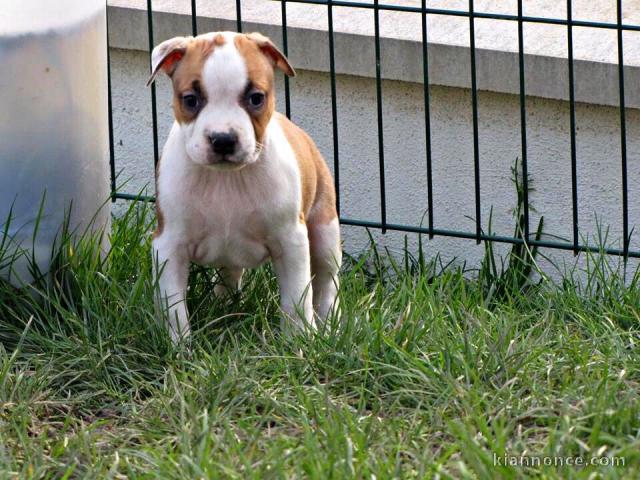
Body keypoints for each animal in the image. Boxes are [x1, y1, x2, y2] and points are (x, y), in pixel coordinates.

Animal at [148, 31, 342, 344]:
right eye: (190, 100)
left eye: (256, 98)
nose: (223, 139)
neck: (227, 179)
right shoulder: (169, 245)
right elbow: (173, 305)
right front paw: (179, 346)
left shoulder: (291, 241)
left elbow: (296, 300)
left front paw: (298, 343)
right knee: (229, 273)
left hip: (325, 233)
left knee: (326, 284)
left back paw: (329, 326)